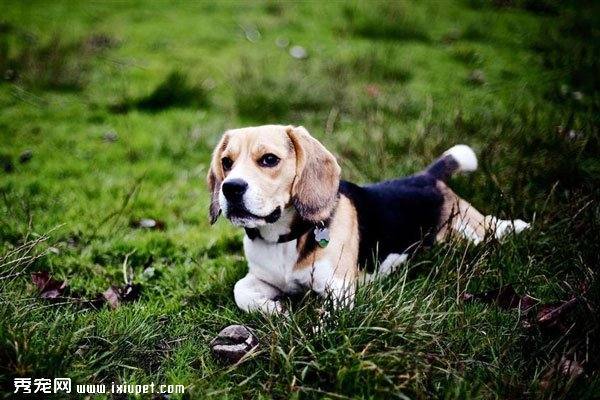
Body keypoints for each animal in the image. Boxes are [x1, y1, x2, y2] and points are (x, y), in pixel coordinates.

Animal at [207, 123, 528, 314]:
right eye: (226, 162)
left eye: (269, 160)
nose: (230, 188)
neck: (283, 238)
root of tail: (427, 176)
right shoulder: (260, 277)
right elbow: (239, 291)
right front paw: (276, 309)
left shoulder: (339, 290)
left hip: (471, 230)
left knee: (491, 227)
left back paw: (516, 226)